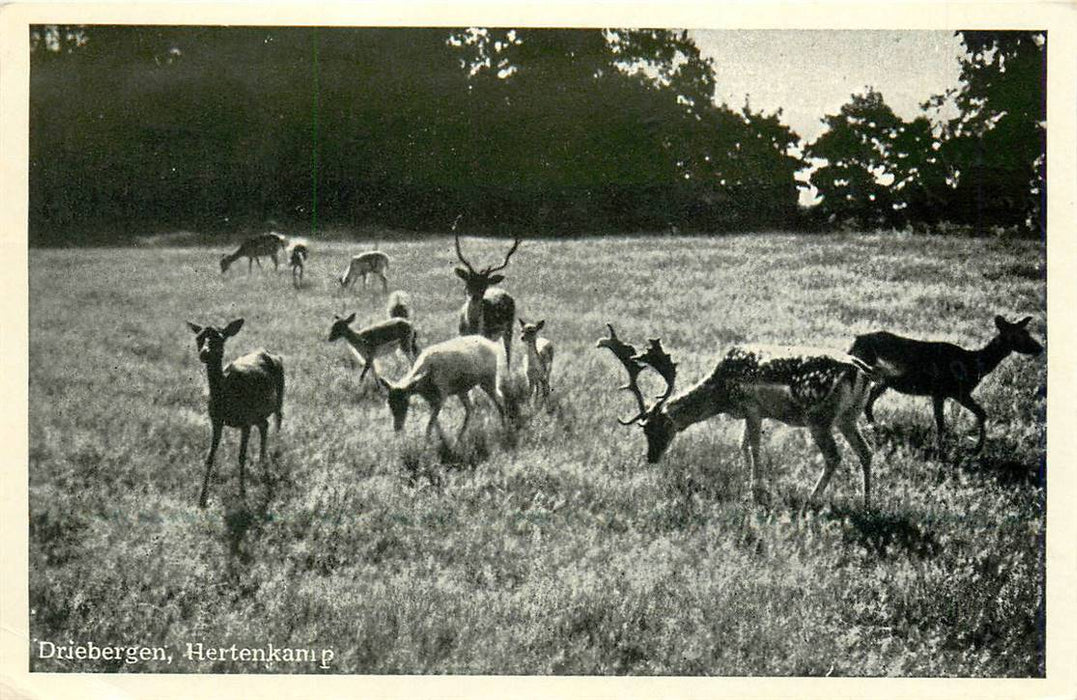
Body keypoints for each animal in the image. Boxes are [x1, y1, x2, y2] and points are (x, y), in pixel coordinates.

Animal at [186, 316, 284, 506]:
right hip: (257, 413)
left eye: (220, 338)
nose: (205, 353)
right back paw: (261, 462)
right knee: (265, 424)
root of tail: (271, 353)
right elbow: (210, 456)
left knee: (278, 418)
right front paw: (201, 499)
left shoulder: (245, 422)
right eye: (198, 337)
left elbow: (241, 457)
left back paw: (274, 453)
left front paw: (243, 495)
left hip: (280, 393)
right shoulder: (216, 420)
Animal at [376, 331, 506, 441]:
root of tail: (493, 345)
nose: (397, 427)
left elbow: (430, 425)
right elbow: (435, 424)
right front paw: (442, 441)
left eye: (405, 401)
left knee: (499, 398)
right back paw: (459, 438)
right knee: (470, 408)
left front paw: (427, 444)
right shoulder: (431, 399)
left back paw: (504, 428)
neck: (425, 383)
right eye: (389, 402)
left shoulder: (442, 395)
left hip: (489, 379)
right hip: (462, 389)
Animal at [452, 224, 519, 368]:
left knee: (508, 354)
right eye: (468, 283)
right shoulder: (461, 334)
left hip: (509, 328)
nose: (475, 297)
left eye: (484, 286)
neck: (473, 328)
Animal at [598, 325, 874, 504]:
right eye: (644, 430)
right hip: (848, 416)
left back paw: (812, 499)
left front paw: (758, 490)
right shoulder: (751, 412)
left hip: (819, 417)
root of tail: (860, 370)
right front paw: (747, 482)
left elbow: (754, 446)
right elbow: (742, 444)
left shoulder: (752, 407)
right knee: (866, 451)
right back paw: (867, 502)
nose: (651, 458)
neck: (722, 394)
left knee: (834, 456)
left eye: (658, 428)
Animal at [848, 312, 1042, 452]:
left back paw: (874, 427)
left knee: (869, 402)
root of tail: (854, 342)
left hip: (883, 381)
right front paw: (967, 448)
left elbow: (969, 415)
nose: (1040, 348)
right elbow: (951, 419)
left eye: (1027, 332)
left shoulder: (947, 393)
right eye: (1019, 335)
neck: (973, 363)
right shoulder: (947, 391)